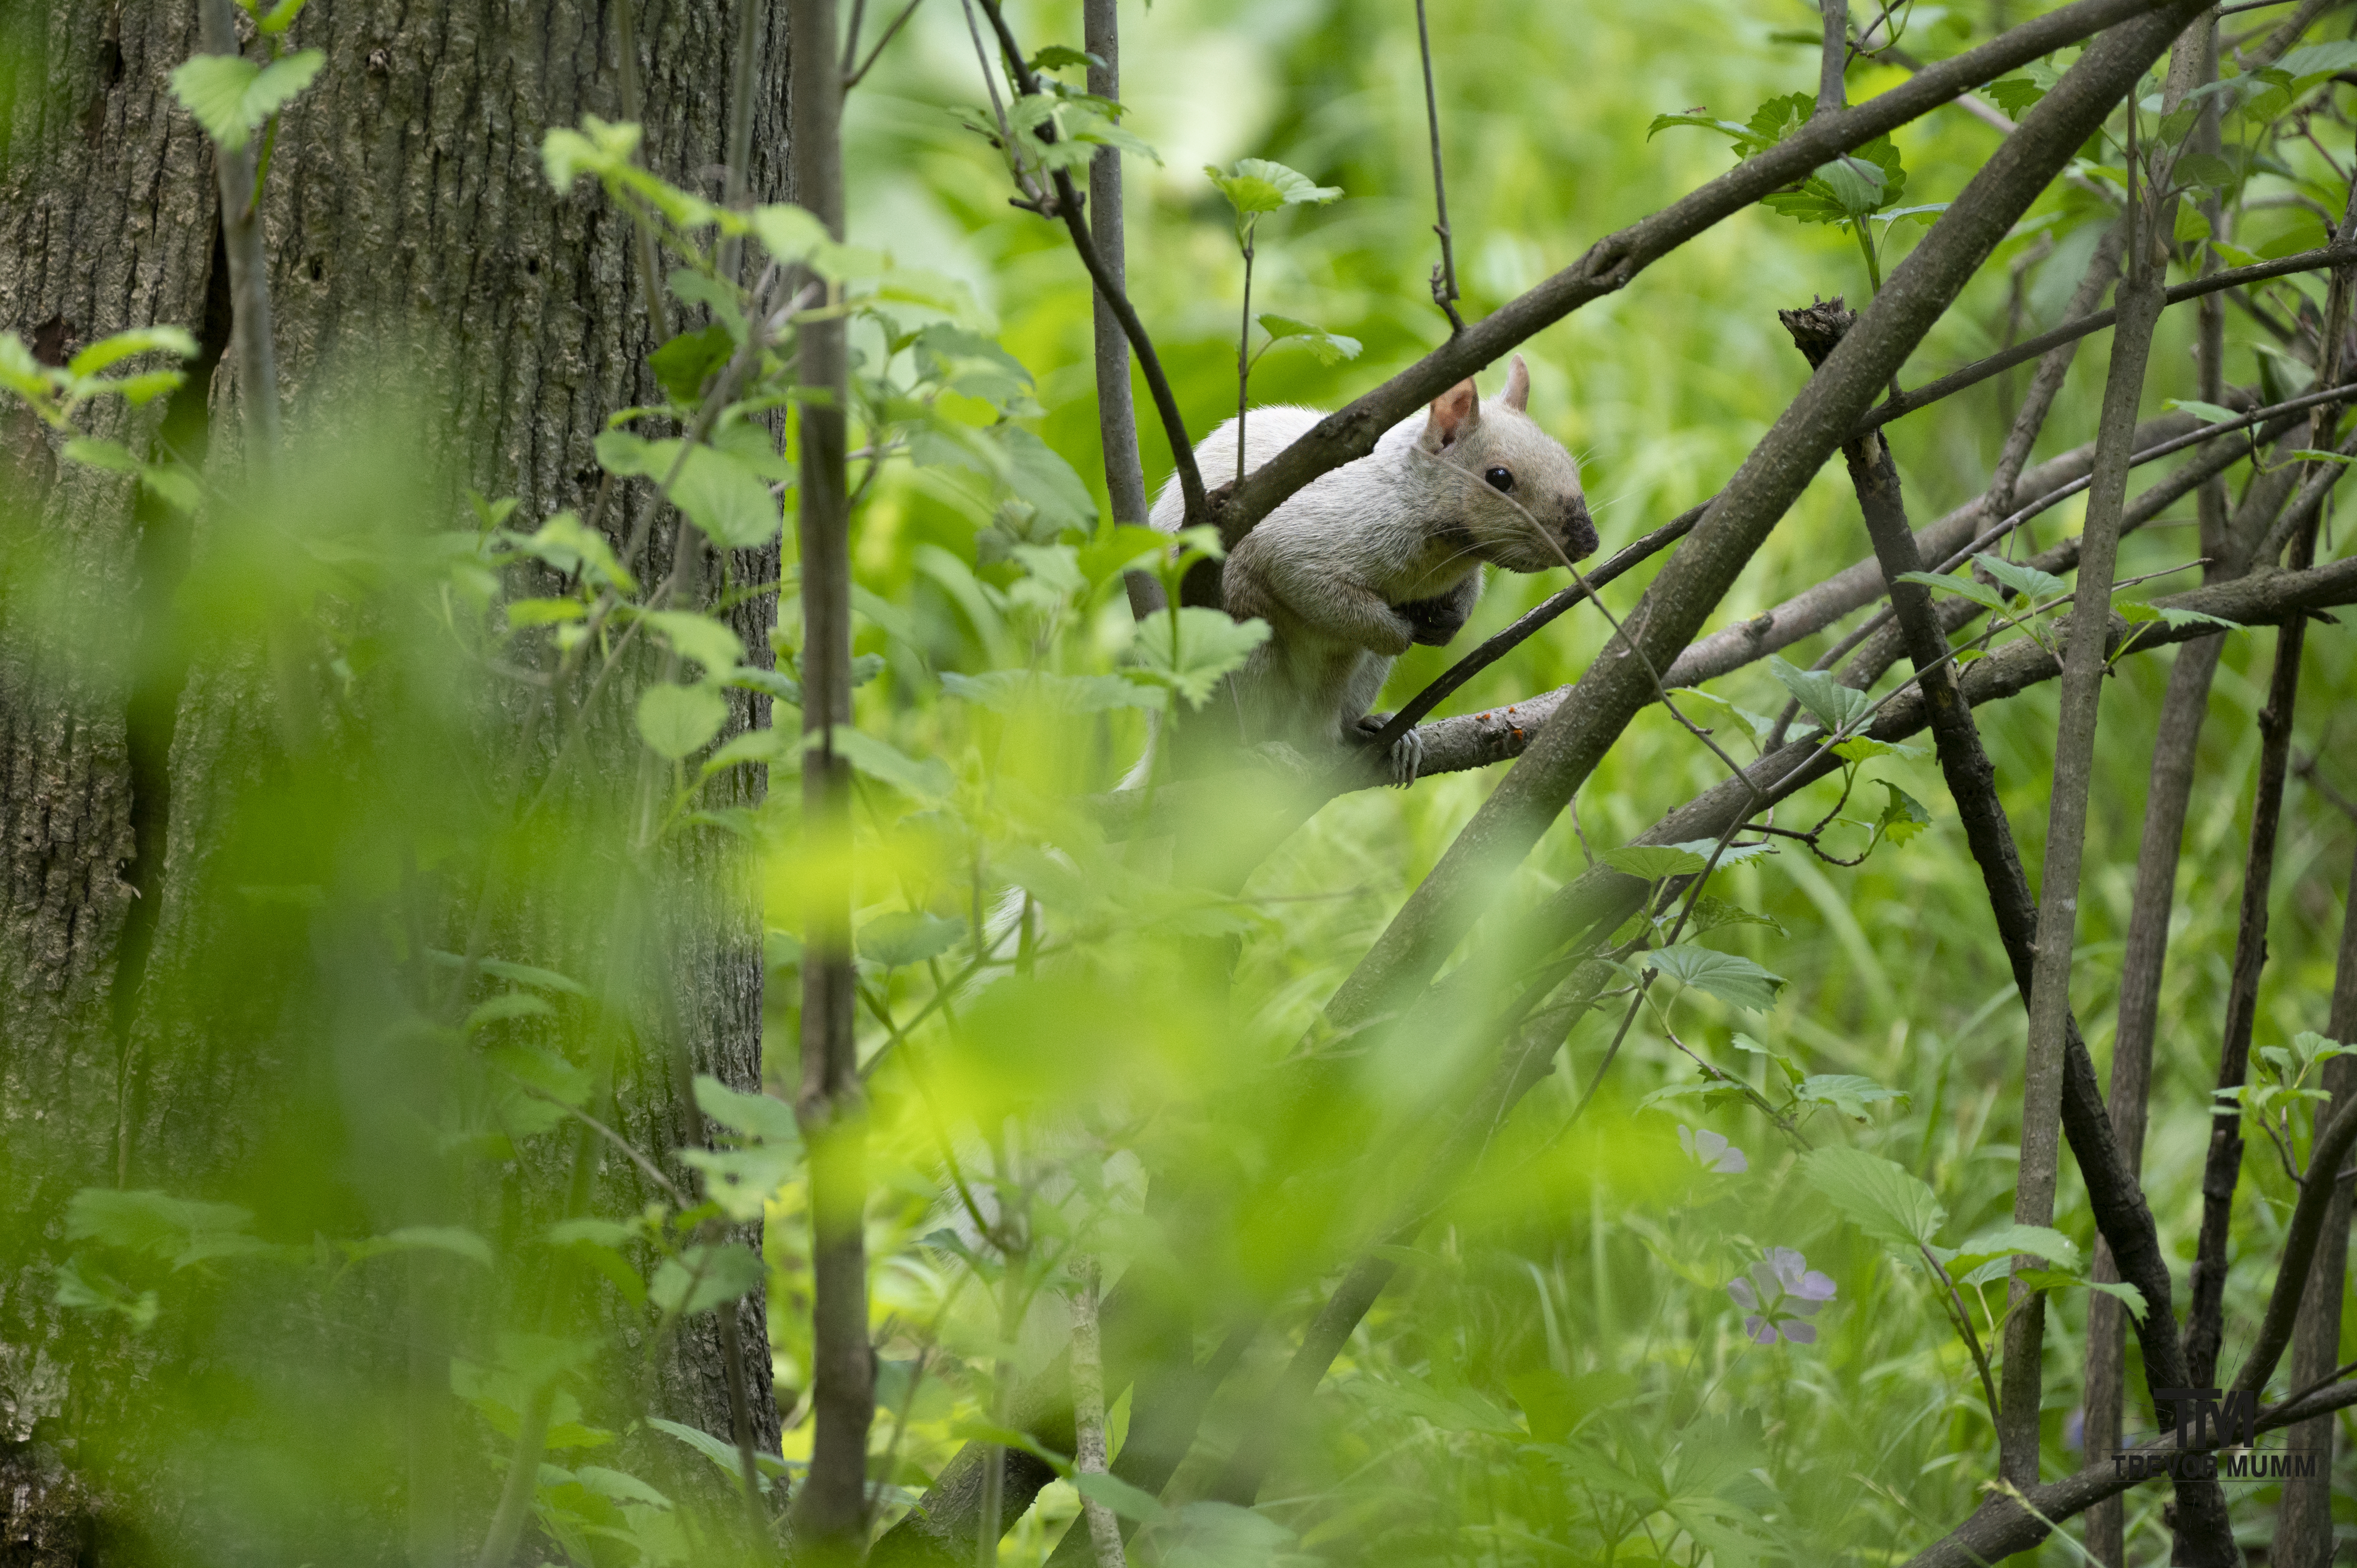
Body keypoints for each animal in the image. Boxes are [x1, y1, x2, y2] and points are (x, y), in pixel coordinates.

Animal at [1146, 353, 1596, 783]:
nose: (1588, 541)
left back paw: (1376, 733)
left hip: (1361, 677)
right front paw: (1397, 633)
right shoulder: (1304, 542)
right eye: (1499, 478)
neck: (1447, 553)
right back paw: (1257, 753)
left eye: (1567, 461)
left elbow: (1467, 590)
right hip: (1242, 659)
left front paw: (1451, 622)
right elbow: (1317, 591)